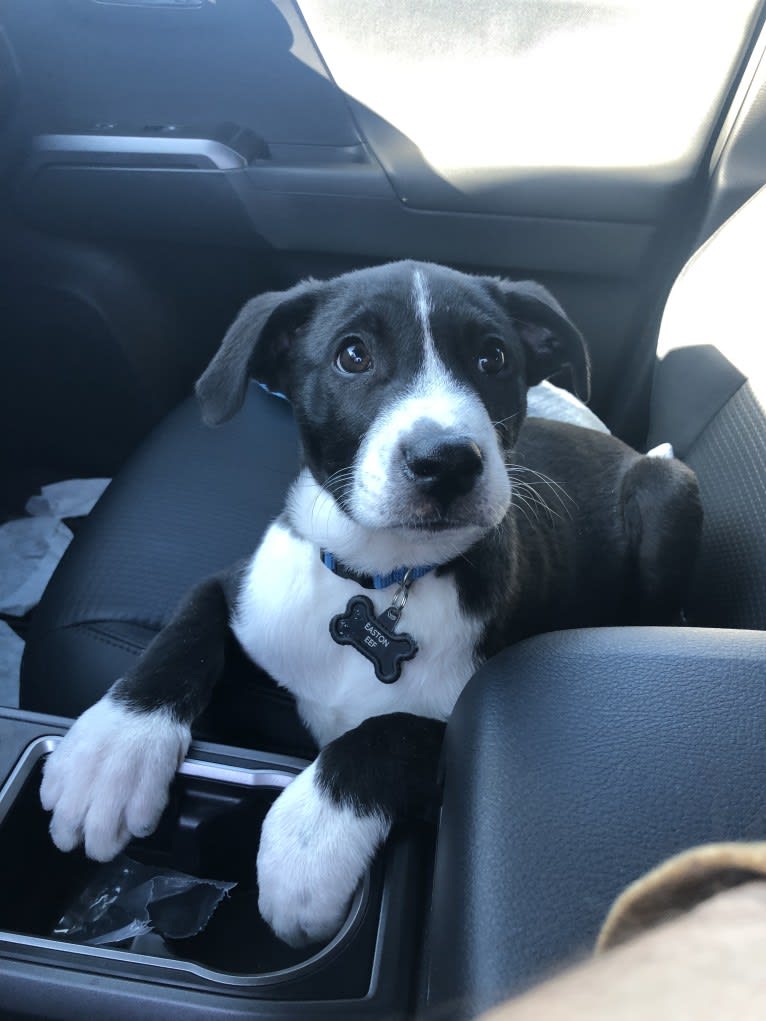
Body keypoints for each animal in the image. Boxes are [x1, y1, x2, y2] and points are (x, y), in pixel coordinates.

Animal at [39, 263, 706, 947]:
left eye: (493, 357)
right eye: (352, 355)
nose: (446, 462)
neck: (383, 576)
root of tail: (635, 450)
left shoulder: (472, 706)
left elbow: (388, 732)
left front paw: (305, 847)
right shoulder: (237, 588)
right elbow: (181, 635)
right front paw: (109, 754)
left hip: (668, 492)